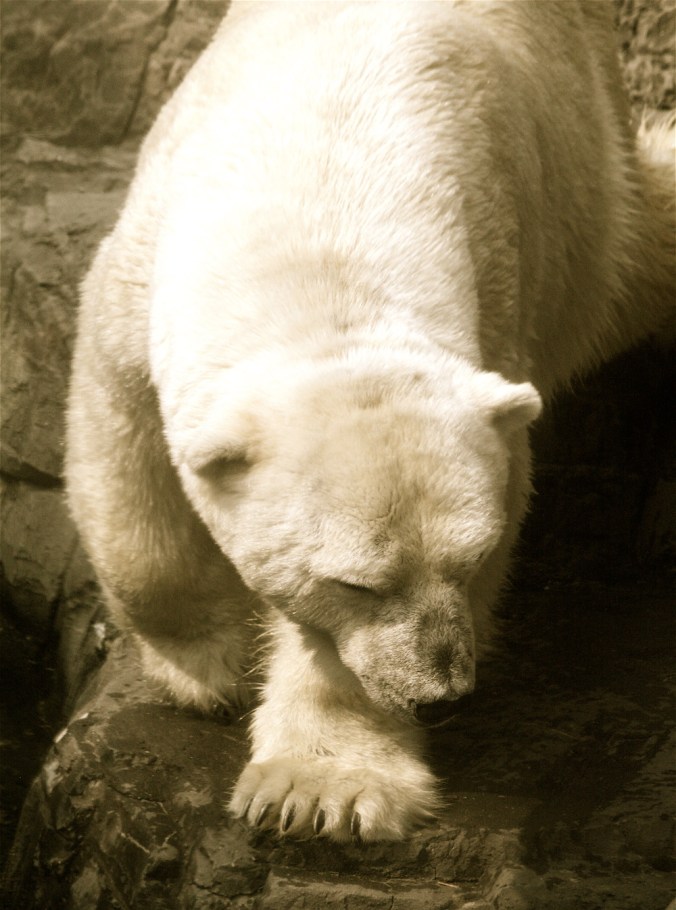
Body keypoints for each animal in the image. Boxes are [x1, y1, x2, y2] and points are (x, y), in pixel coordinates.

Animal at [66, 0, 674, 842]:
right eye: (355, 581)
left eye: (473, 558)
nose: (439, 693)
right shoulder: (137, 276)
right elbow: (122, 449)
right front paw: (206, 665)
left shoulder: (502, 285)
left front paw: (322, 787)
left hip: (588, 195)